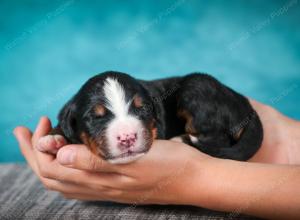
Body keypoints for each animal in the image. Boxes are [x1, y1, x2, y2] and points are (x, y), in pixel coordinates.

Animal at [38, 71, 262, 163]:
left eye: (143, 109)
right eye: (95, 117)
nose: (127, 137)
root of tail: (244, 103)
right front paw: (53, 138)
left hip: (196, 85)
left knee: (218, 139)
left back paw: (181, 139)